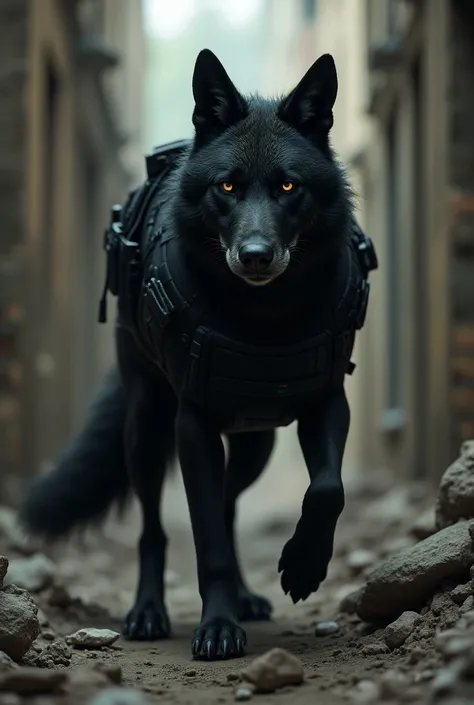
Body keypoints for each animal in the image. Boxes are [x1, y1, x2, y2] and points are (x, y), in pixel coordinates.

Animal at [18, 51, 376, 660]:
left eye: (288, 185)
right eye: (227, 185)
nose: (254, 256)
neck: (266, 317)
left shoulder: (329, 404)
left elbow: (327, 489)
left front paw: (303, 566)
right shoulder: (194, 426)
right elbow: (204, 538)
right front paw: (218, 628)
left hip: (256, 443)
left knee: (230, 507)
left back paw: (248, 595)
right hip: (147, 431)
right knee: (155, 529)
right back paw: (147, 612)